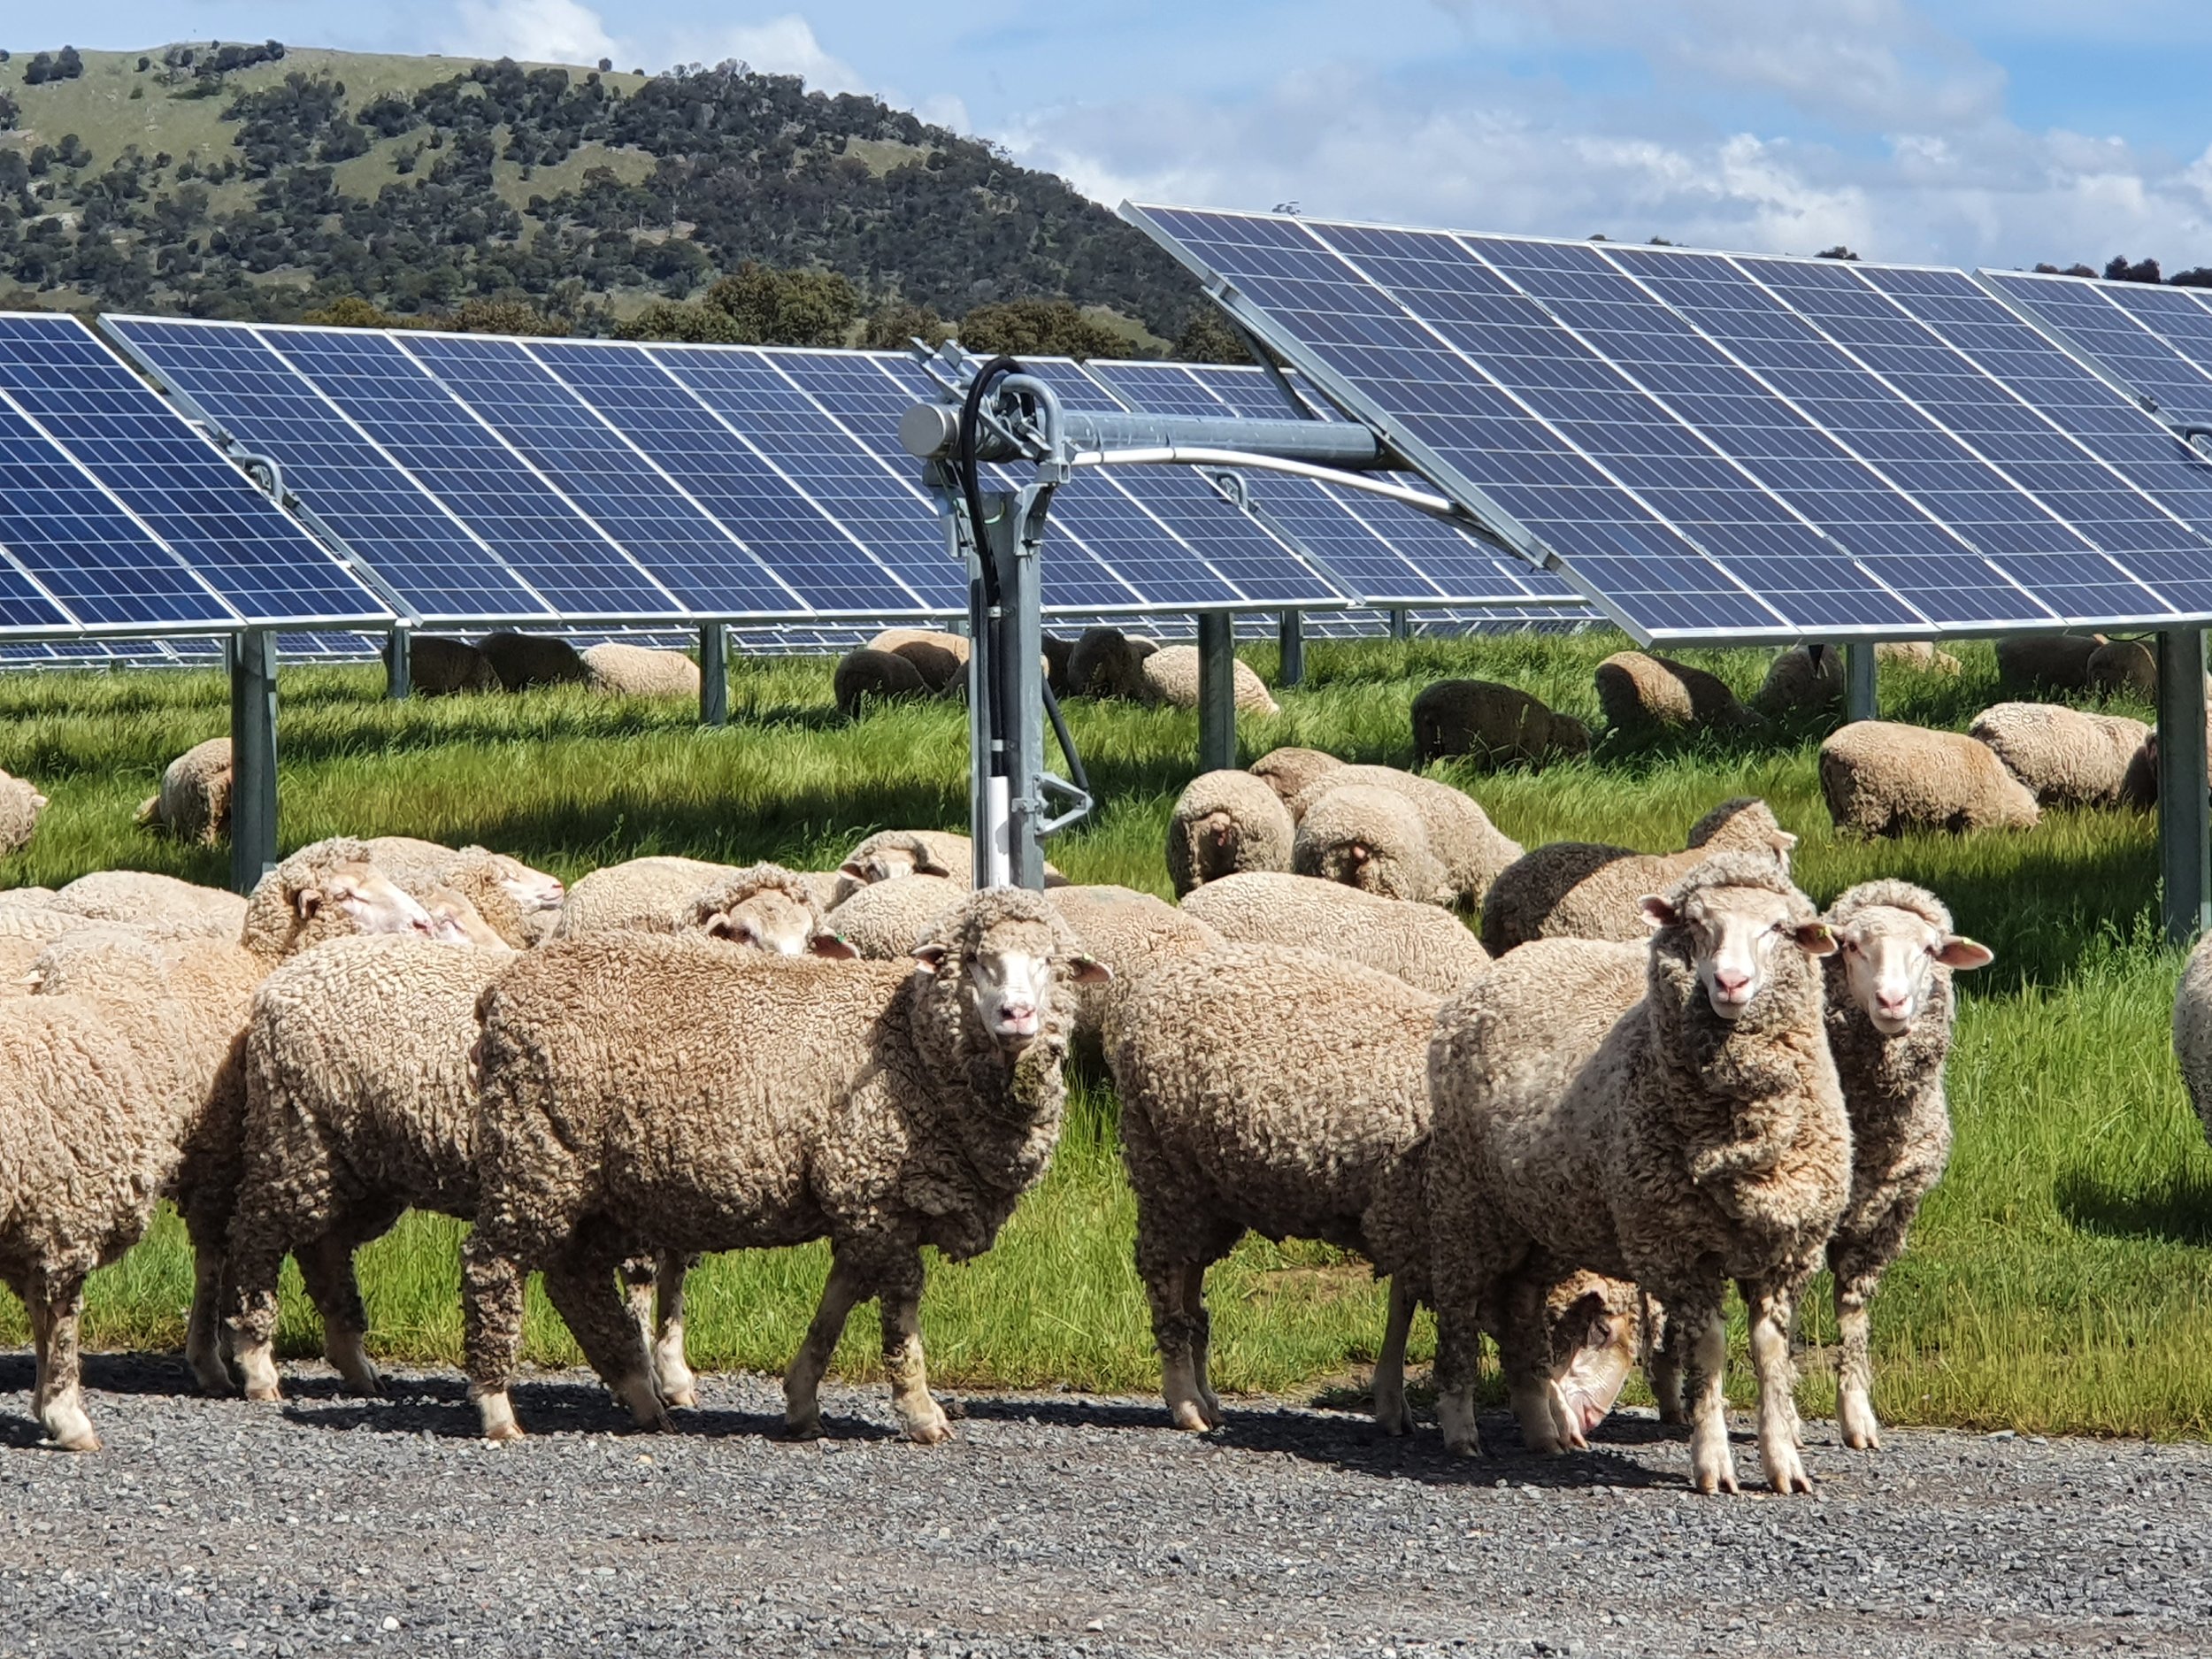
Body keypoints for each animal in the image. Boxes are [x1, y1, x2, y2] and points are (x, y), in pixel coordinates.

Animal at [460, 887, 1109, 1442]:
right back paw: (497, 1406)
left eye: (1051, 962)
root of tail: (502, 988)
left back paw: (641, 1396)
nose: (1016, 1015)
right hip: (535, 1151)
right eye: (975, 959)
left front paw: (801, 1401)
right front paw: (922, 1412)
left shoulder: (860, 1199)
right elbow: (901, 1314)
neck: (913, 1042)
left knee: (575, 1278)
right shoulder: (876, 1192)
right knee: (491, 1265)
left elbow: (835, 1306)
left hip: (593, 1181)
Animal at [1411, 680, 1590, 768]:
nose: (1584, 765)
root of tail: (1425, 705)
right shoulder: (1525, 753)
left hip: (1426, 746)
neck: (1551, 730)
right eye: (1577, 744)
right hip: (1458, 746)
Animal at [1415, 855, 1850, 1493]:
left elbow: (1771, 1355)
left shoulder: (1785, 1248)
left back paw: (1541, 1429)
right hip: (1464, 1199)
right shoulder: (1680, 1248)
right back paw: (1460, 1427)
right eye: (1696, 924)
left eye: (1778, 927)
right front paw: (1713, 1462)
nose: (1729, 983)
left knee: (1520, 1308)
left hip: (1543, 1220)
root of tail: (1510, 961)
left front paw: (1785, 1465)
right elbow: (1710, 1352)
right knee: (1457, 1311)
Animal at [1818, 881, 1991, 1451]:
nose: (1892, 1001)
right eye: (1852, 946)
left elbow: (1853, 1317)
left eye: (1930, 950)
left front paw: (1858, 1418)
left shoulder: (1881, 1215)